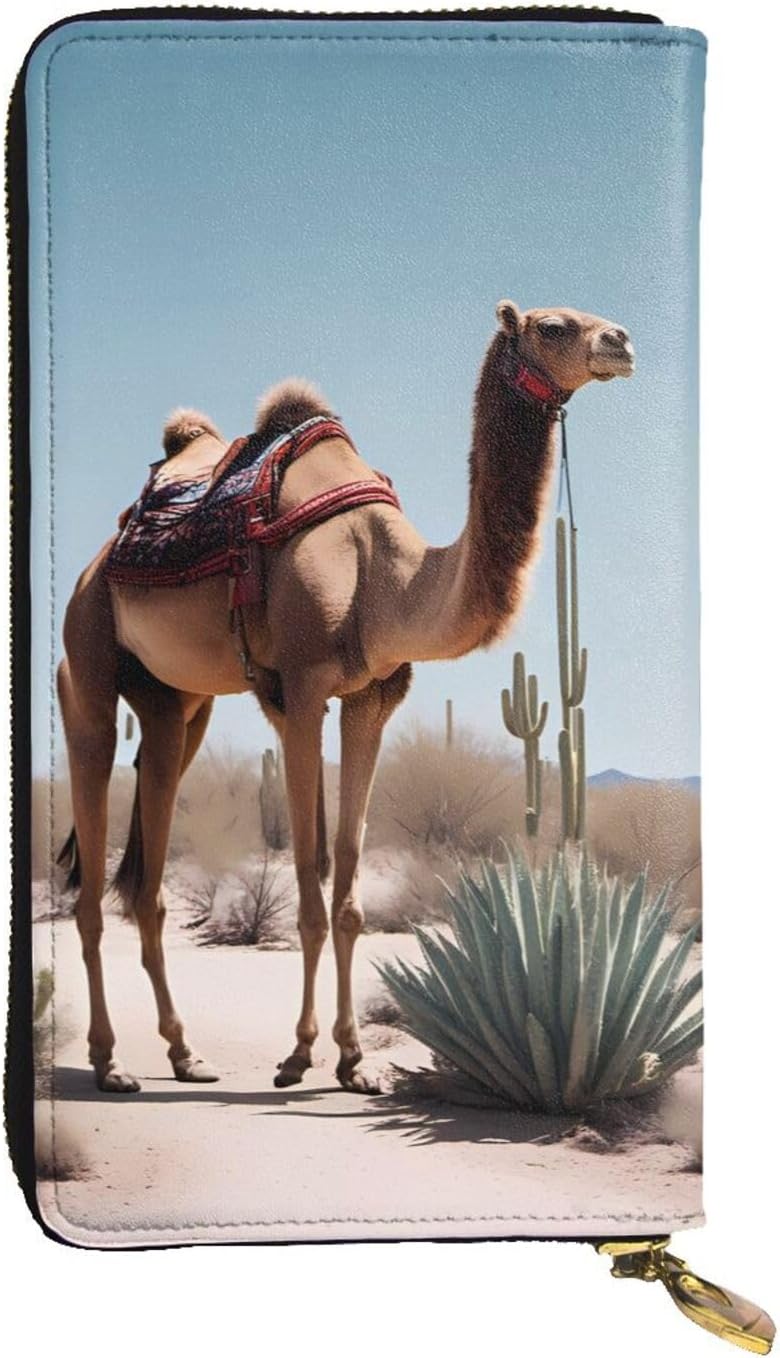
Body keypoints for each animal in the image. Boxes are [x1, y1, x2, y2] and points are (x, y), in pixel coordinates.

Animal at [56, 300, 634, 1095]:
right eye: (552, 325)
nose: (622, 341)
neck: (387, 577)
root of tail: (97, 563)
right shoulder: (301, 693)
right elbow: (308, 887)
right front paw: (299, 1055)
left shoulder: (374, 698)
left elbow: (350, 894)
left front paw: (355, 1062)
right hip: (86, 661)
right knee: (87, 885)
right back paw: (111, 1063)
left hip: (179, 704)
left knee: (148, 870)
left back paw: (184, 1053)